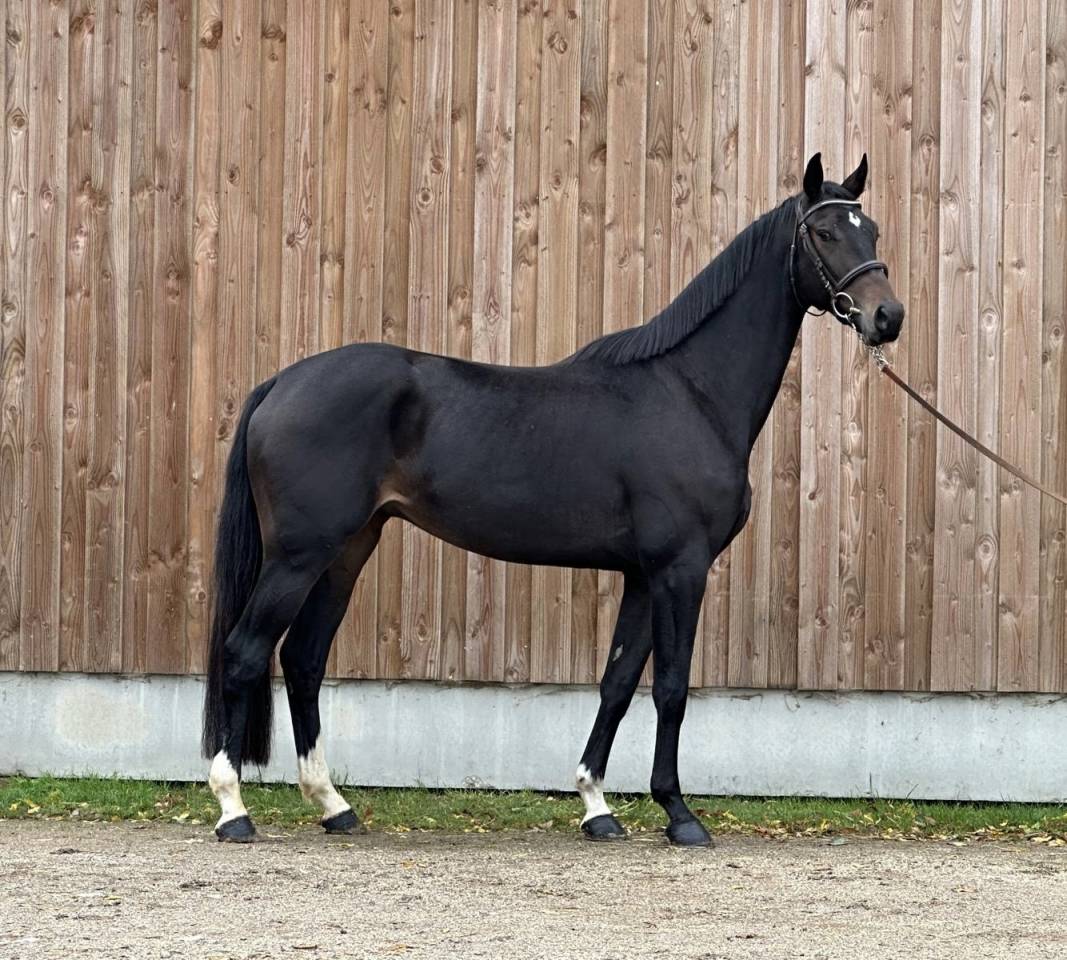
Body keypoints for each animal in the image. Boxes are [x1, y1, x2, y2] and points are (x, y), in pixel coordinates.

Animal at [202, 152, 903, 846]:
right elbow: (671, 688)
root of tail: (280, 383)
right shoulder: (681, 570)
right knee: (244, 653)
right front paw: (679, 814)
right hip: (299, 555)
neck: (690, 392)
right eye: (824, 233)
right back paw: (234, 811)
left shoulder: (643, 576)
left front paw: (597, 805)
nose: (887, 317)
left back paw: (334, 805)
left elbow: (618, 682)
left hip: (346, 551)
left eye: (871, 230)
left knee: (302, 660)